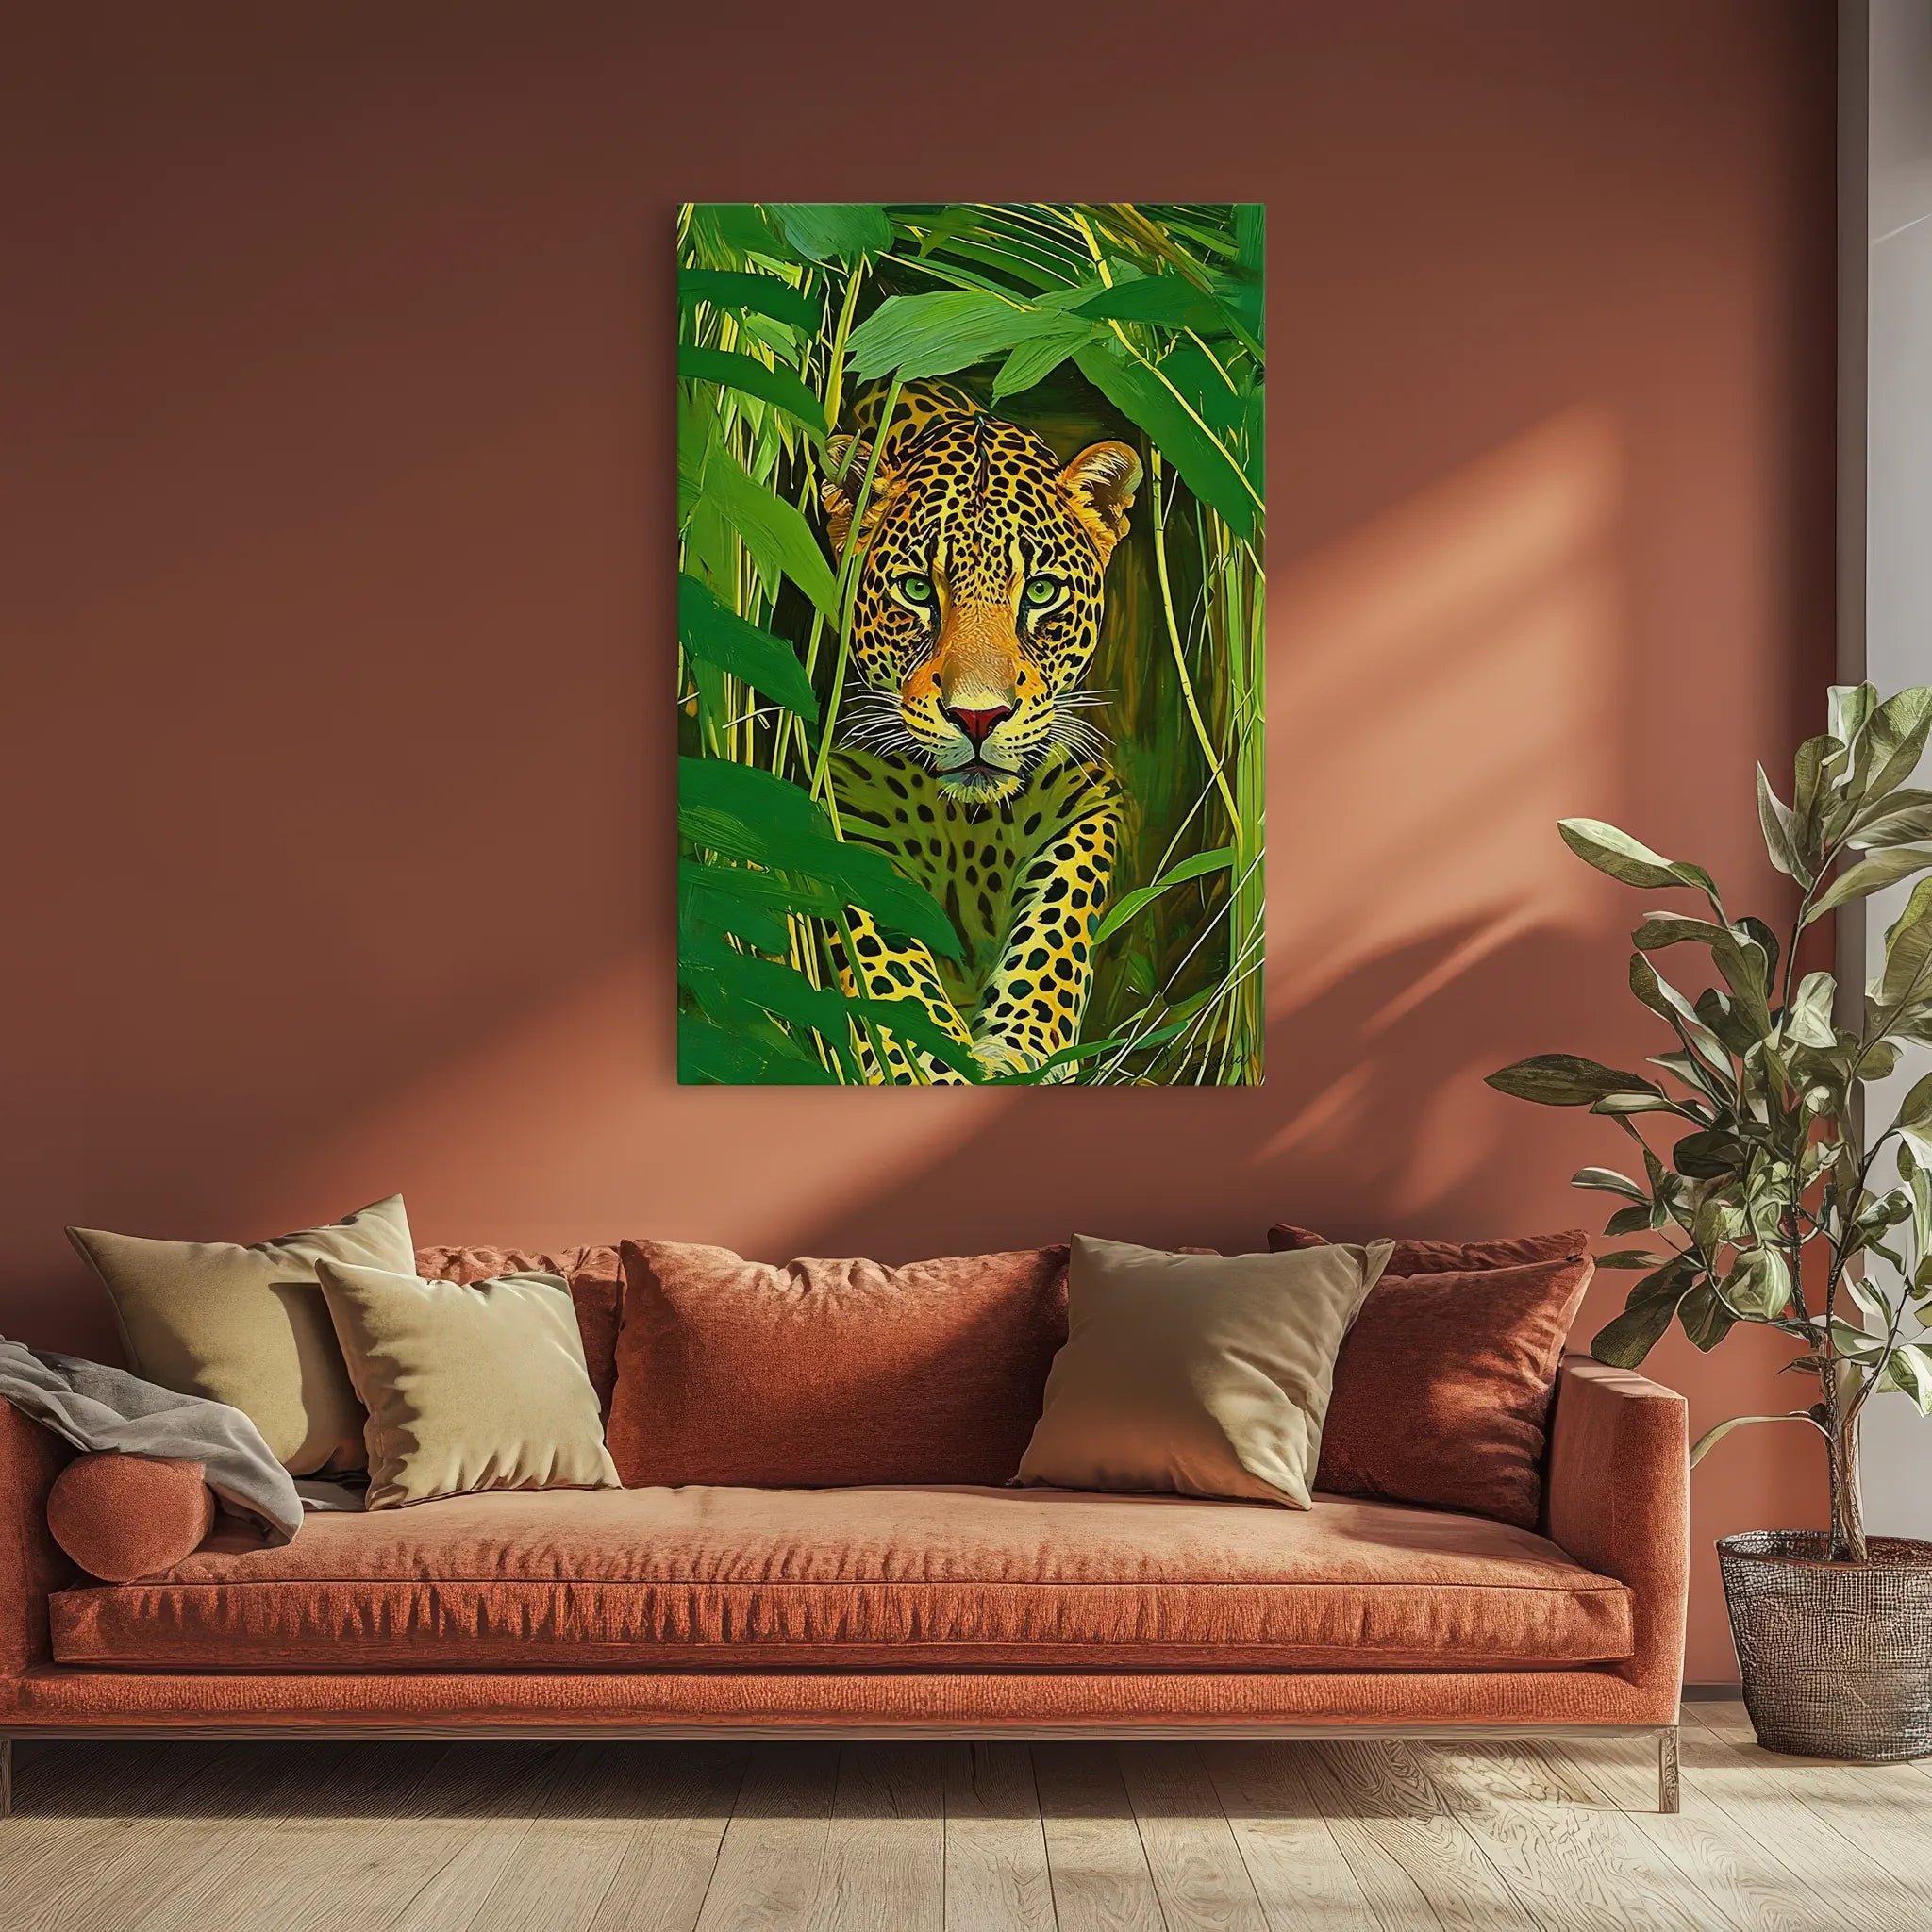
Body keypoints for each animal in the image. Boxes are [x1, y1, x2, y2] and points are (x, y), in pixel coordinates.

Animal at [818, 379, 1142, 1083]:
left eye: (1041, 592)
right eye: (917, 590)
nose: (977, 717)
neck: (967, 823)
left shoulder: (1090, 792)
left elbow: (1059, 918)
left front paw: (1019, 1045)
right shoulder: (840, 803)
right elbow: (884, 954)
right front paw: (926, 1063)